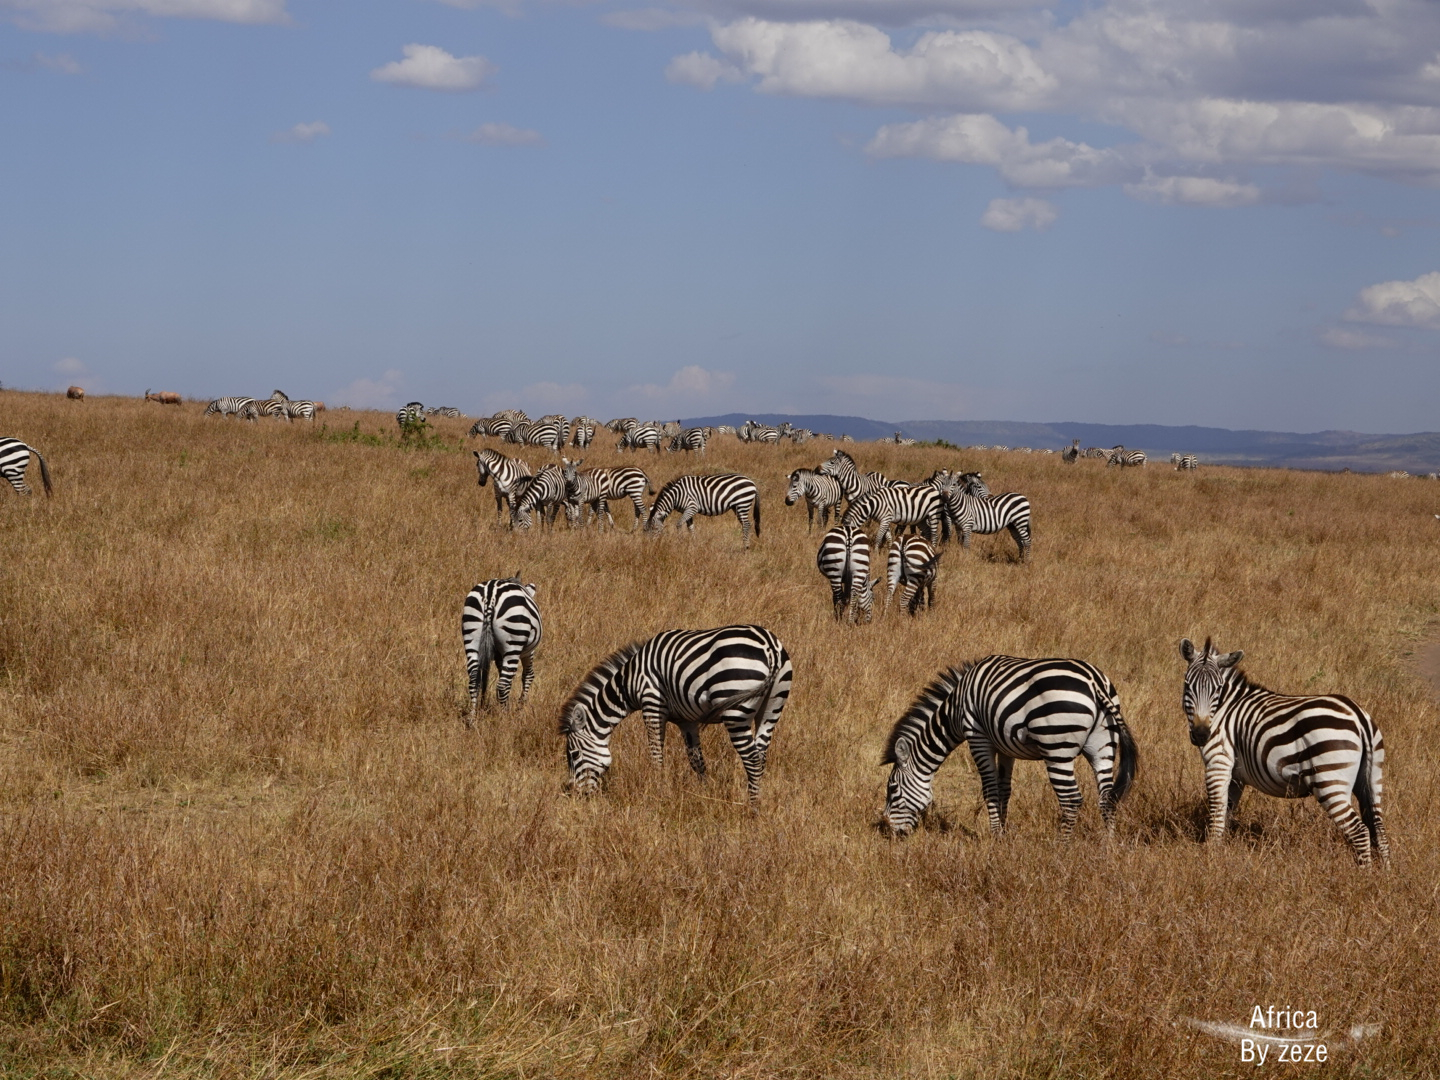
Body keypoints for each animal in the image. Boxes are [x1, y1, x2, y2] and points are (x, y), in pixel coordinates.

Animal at [463, 578, 541, 722]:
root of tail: (490, 595)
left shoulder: (499, 655)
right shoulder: (528, 651)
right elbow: (528, 675)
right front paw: (521, 705)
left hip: (471, 633)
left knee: (474, 680)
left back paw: (472, 717)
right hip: (514, 640)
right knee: (503, 684)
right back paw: (504, 717)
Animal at [558, 624, 794, 806]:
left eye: (574, 754)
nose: (577, 795)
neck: (628, 683)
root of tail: (770, 646)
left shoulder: (651, 702)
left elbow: (655, 753)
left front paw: (658, 790)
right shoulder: (687, 720)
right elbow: (696, 760)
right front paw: (704, 792)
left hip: (735, 709)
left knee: (752, 758)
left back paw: (752, 807)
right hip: (772, 706)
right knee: (761, 754)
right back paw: (756, 799)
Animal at [881, 656, 1140, 840]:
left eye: (893, 789)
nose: (891, 832)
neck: (954, 710)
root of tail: (1095, 681)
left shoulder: (978, 738)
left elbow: (990, 790)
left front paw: (995, 836)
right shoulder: (1006, 746)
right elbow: (1004, 789)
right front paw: (1003, 834)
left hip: (1057, 747)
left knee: (1071, 800)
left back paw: (1062, 847)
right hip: (1104, 745)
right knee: (1107, 797)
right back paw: (1107, 845)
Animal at [1180, 639, 1382, 869]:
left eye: (1218, 689)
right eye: (1188, 685)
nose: (1201, 735)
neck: (1224, 710)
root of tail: (1358, 716)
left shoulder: (1218, 762)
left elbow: (1217, 810)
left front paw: (1211, 855)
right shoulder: (1236, 776)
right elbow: (1227, 811)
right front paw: (1221, 850)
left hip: (1330, 781)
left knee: (1360, 831)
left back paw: (1364, 873)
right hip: (1372, 778)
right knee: (1378, 829)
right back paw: (1384, 871)